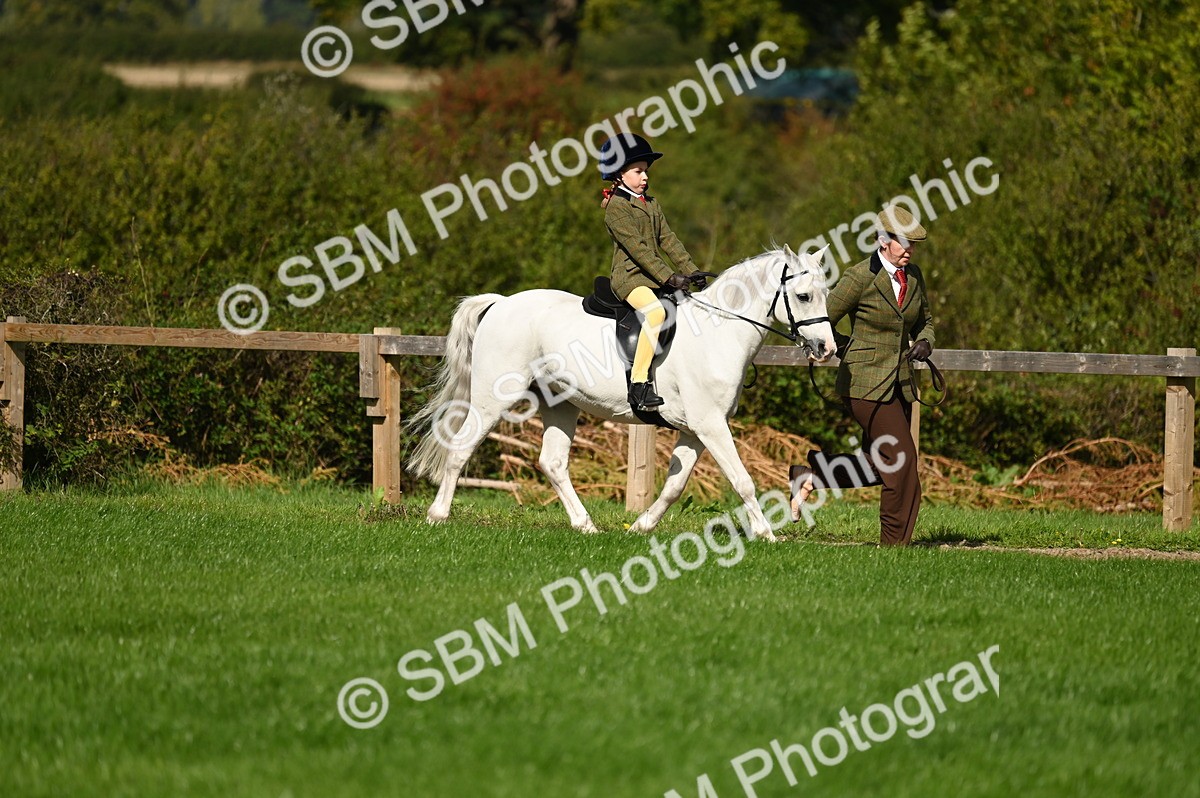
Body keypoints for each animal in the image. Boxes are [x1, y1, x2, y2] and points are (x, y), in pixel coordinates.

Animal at [407, 245, 836, 541]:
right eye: (803, 296)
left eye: (826, 294)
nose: (827, 349)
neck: (719, 333)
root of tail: (501, 304)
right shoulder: (711, 425)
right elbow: (742, 480)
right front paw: (767, 534)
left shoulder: (696, 430)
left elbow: (675, 485)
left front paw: (641, 526)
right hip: (492, 398)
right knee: (461, 447)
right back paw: (438, 515)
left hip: (559, 404)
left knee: (553, 462)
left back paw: (585, 525)